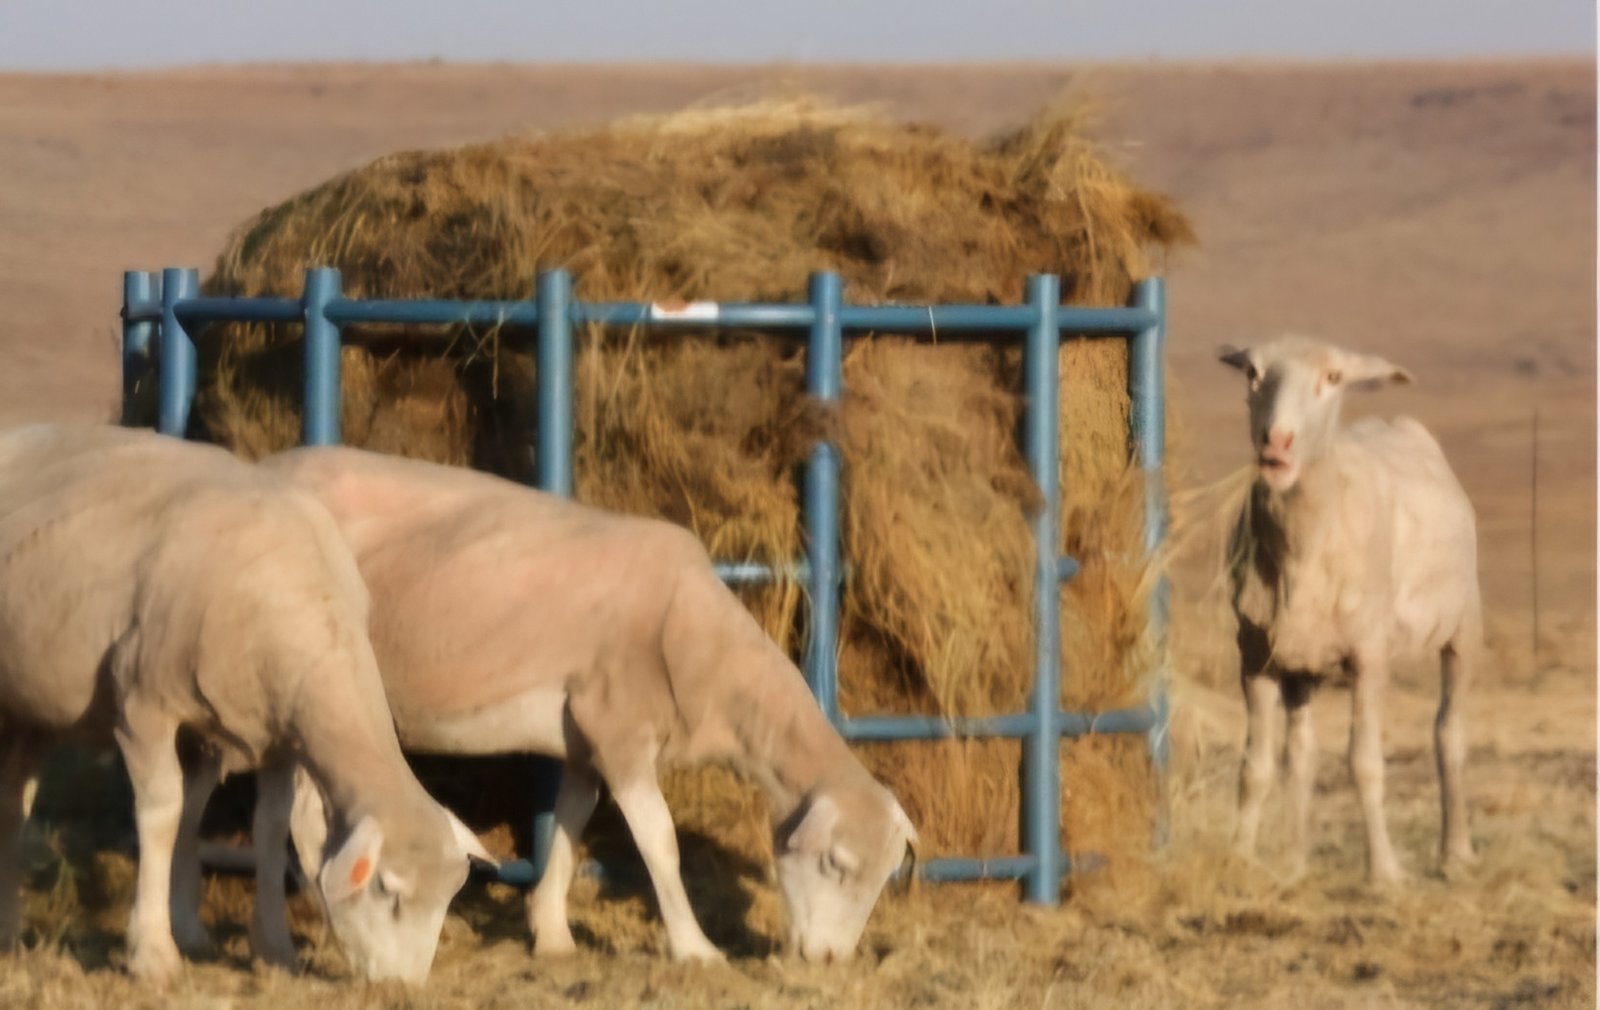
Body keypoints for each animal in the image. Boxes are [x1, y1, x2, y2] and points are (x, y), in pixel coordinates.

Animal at [0, 424, 491, 983]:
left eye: (450, 895)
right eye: (387, 888)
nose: (403, 986)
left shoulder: (273, 737)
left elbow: (265, 828)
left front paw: (270, 948)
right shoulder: (144, 708)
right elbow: (163, 816)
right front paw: (153, 953)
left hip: (33, 707)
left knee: (13, 802)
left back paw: (9, 931)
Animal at [237, 445, 917, 963]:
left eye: (886, 877)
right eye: (835, 862)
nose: (827, 959)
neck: (706, 650)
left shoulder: (585, 743)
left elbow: (570, 822)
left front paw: (552, 933)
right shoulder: (619, 730)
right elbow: (660, 843)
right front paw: (695, 949)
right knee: (303, 816)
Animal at [1218, 336, 1481, 884]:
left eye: (1334, 378)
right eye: (1252, 373)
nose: (1278, 441)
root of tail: (1396, 423)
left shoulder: (1370, 656)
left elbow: (1365, 763)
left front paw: (1384, 873)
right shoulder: (1254, 656)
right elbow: (1256, 767)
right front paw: (1240, 857)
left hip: (1464, 625)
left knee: (1449, 731)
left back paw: (1456, 851)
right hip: (1303, 663)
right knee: (1300, 752)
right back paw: (1294, 857)